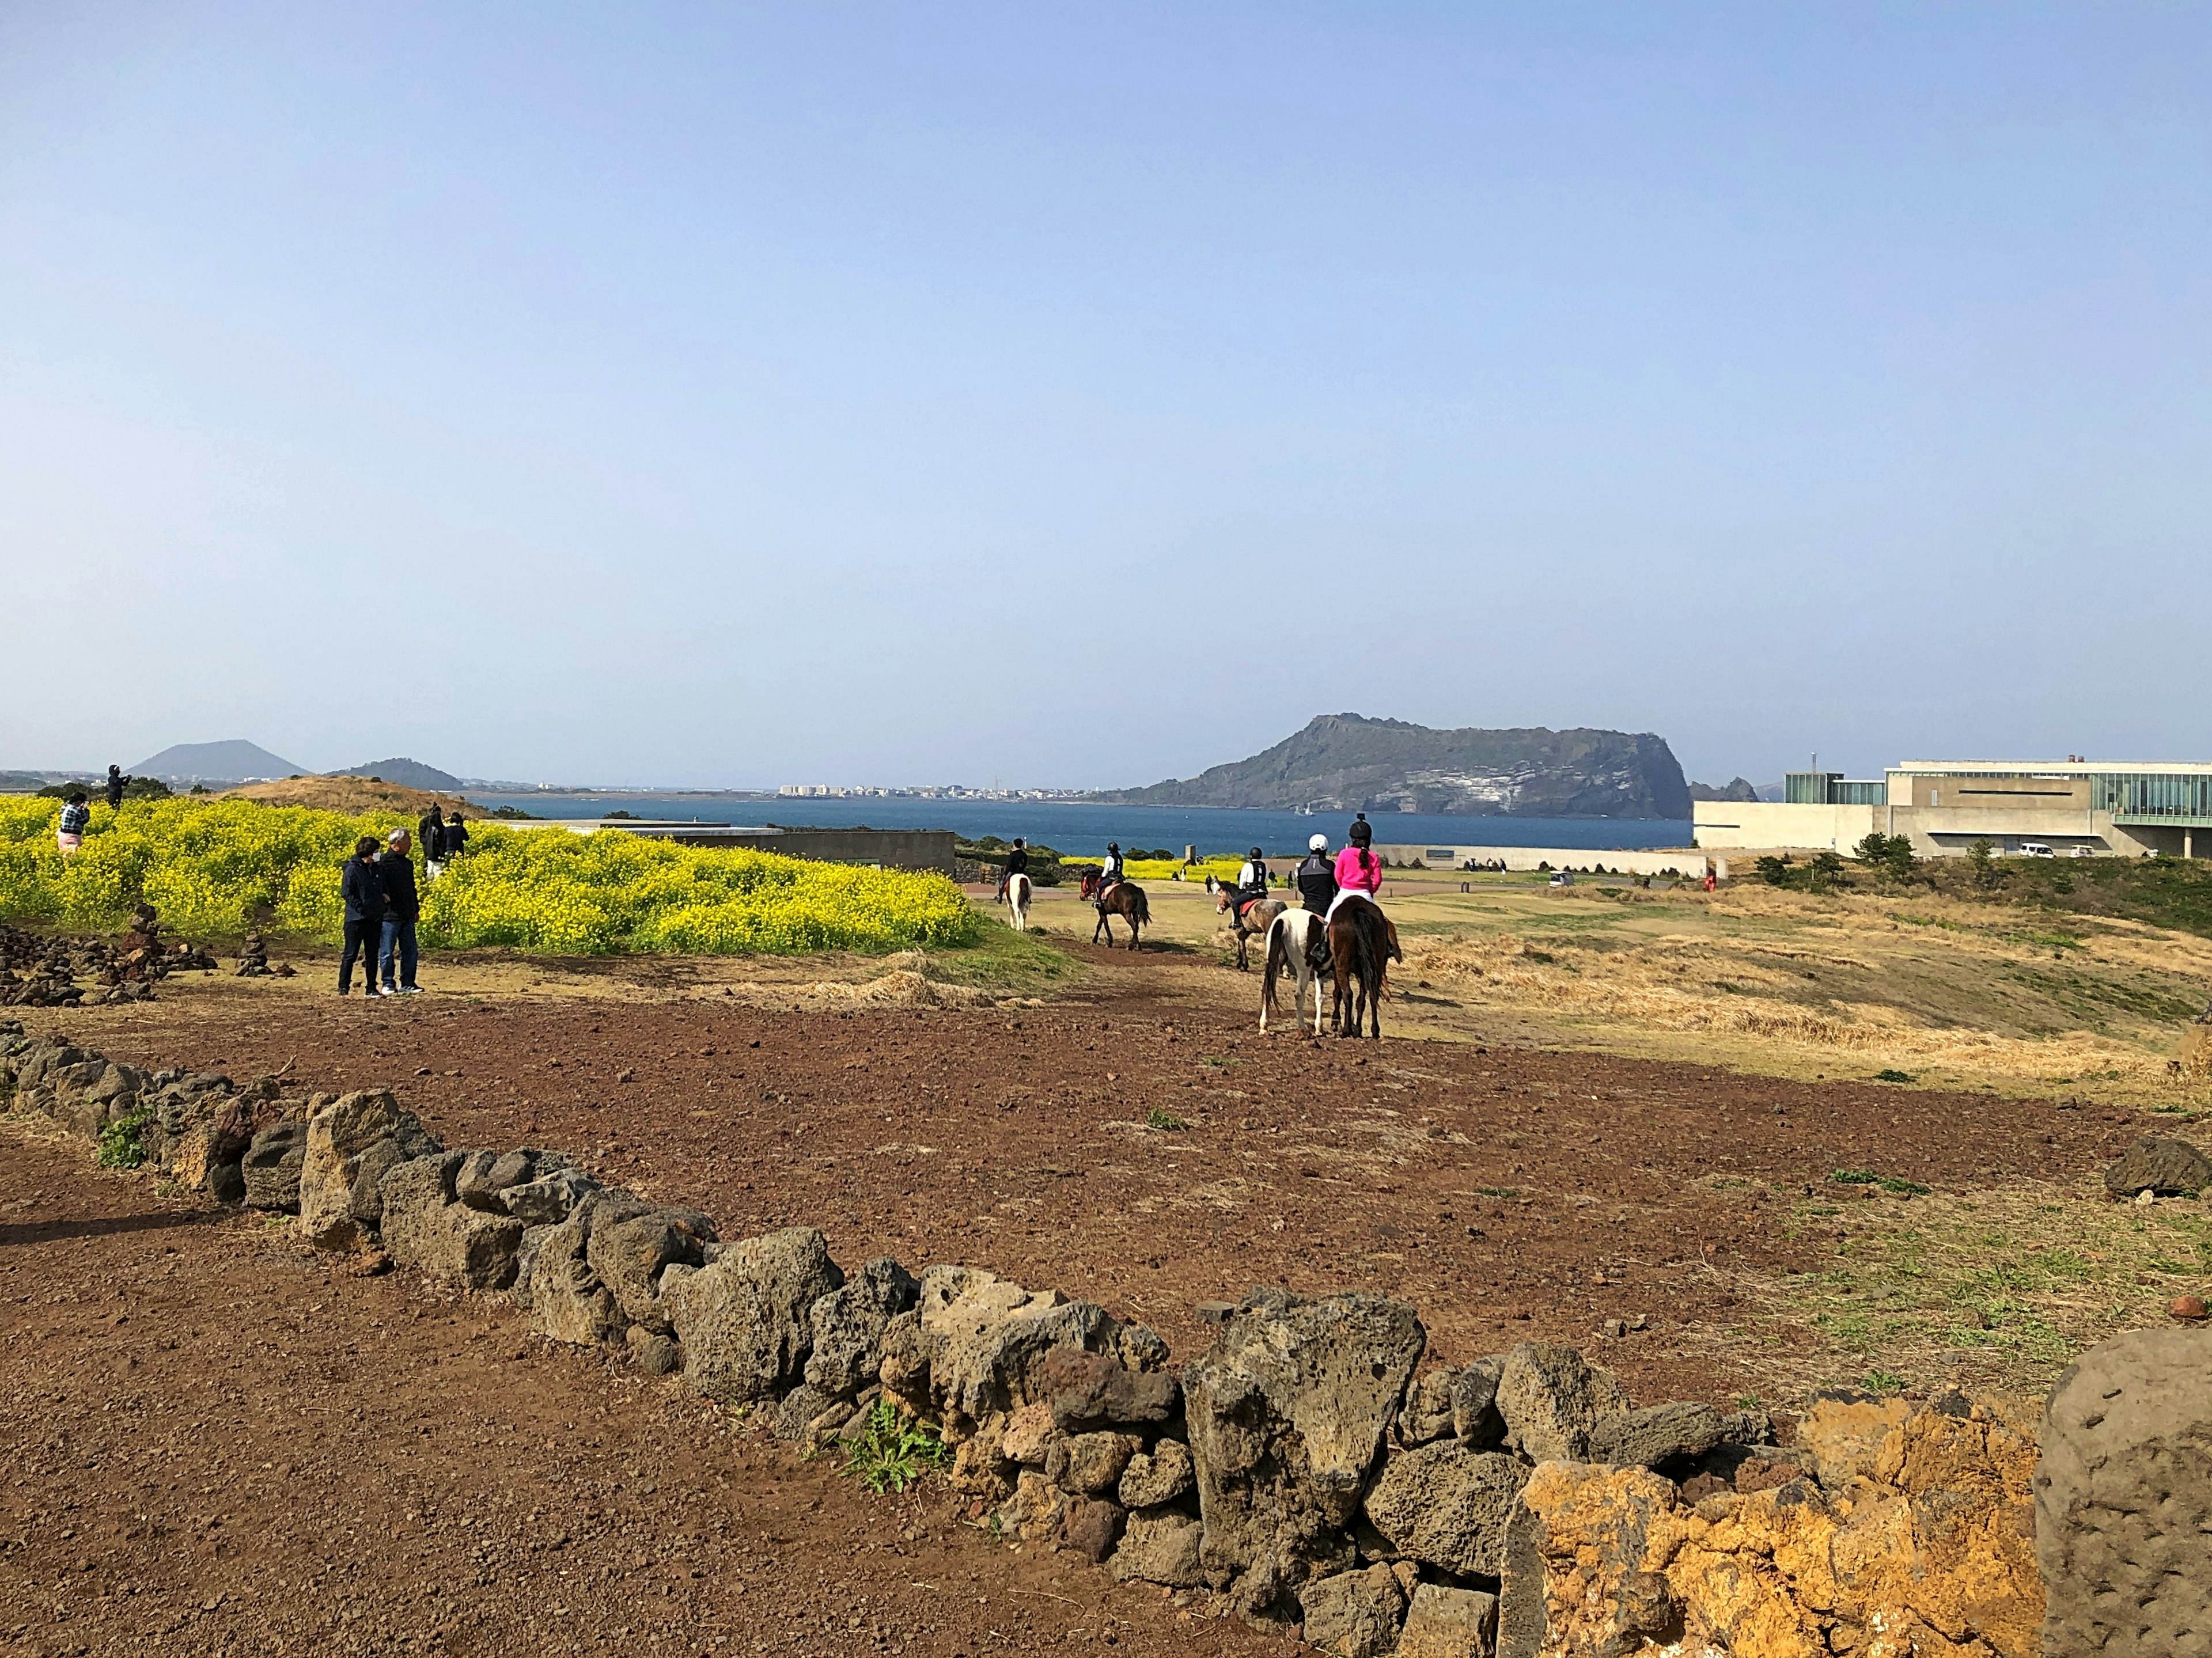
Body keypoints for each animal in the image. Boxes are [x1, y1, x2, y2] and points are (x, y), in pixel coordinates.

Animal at [1075, 875, 1150, 955]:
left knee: (1134, 926)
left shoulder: (1102, 912)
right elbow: (1099, 925)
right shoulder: (1103, 912)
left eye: (1082, 884)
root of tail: (1135, 890)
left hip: (1126, 914)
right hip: (1135, 913)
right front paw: (1095, 940)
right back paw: (1137, 945)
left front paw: (1109, 943)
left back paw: (1130, 946)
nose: (1081, 897)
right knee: (1136, 926)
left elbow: (1106, 926)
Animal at [1265, 915, 1327, 1034]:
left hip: (1274, 963)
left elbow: (1320, 997)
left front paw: (1319, 1027)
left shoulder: (1321, 971)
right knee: (1299, 995)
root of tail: (1284, 920)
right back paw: (1302, 1026)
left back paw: (1263, 1025)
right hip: (1304, 970)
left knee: (1268, 989)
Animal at [1327, 897, 1397, 1039]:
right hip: (1375, 966)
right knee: (1371, 996)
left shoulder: (1338, 968)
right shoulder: (1363, 972)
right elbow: (1362, 999)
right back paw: (1373, 1030)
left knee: (1348, 994)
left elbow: (1338, 994)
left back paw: (1347, 1030)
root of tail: (1358, 910)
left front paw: (1336, 1022)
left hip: (1342, 966)